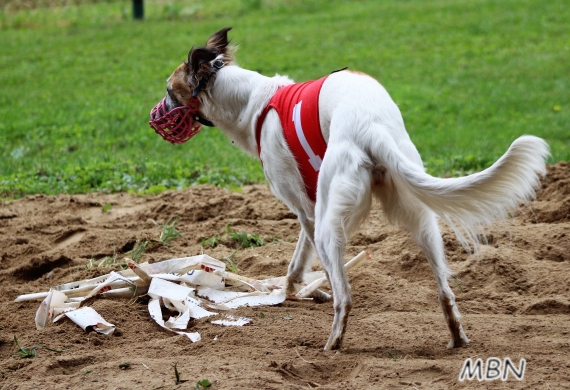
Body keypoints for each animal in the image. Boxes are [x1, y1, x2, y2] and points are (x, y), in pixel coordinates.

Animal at [149, 27, 548, 350]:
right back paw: (456, 337)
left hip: (331, 224)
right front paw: (291, 291)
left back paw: (332, 344)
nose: (153, 116)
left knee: (347, 296)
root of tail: (370, 125)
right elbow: (298, 264)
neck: (254, 101)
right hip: (421, 219)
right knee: (445, 291)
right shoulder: (313, 208)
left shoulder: (306, 209)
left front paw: (298, 292)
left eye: (169, 90)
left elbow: (309, 266)